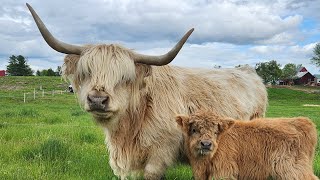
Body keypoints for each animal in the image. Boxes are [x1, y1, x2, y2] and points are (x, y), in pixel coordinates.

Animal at [176, 111, 318, 180]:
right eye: (194, 130)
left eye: (215, 132)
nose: (206, 144)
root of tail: (302, 122)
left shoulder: (224, 171)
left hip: (291, 169)